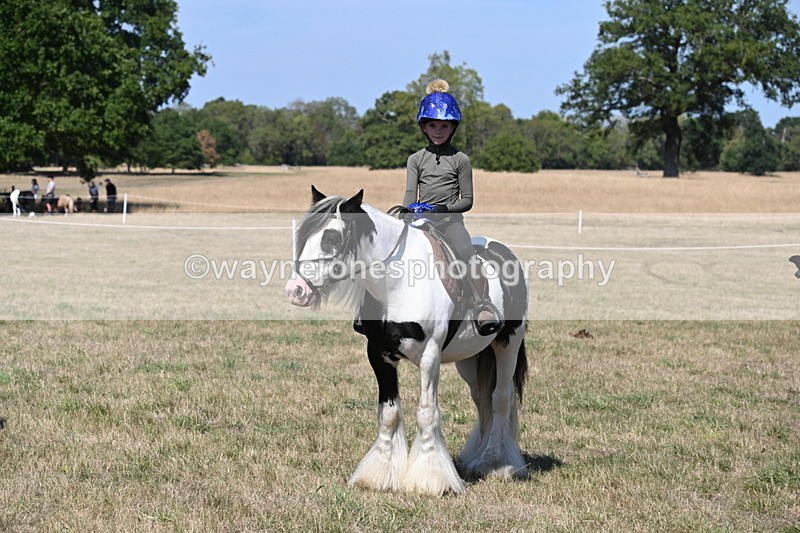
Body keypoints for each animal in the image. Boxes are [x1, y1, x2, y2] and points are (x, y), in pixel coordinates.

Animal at [284, 186, 529, 495]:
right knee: (481, 398)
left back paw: (492, 462)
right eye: (305, 236)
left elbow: (426, 412)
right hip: (469, 359)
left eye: (332, 238)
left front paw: (431, 479)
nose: (296, 290)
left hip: (507, 345)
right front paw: (378, 475)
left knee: (500, 398)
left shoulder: (430, 357)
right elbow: (389, 414)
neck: (397, 283)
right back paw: (474, 458)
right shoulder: (378, 354)